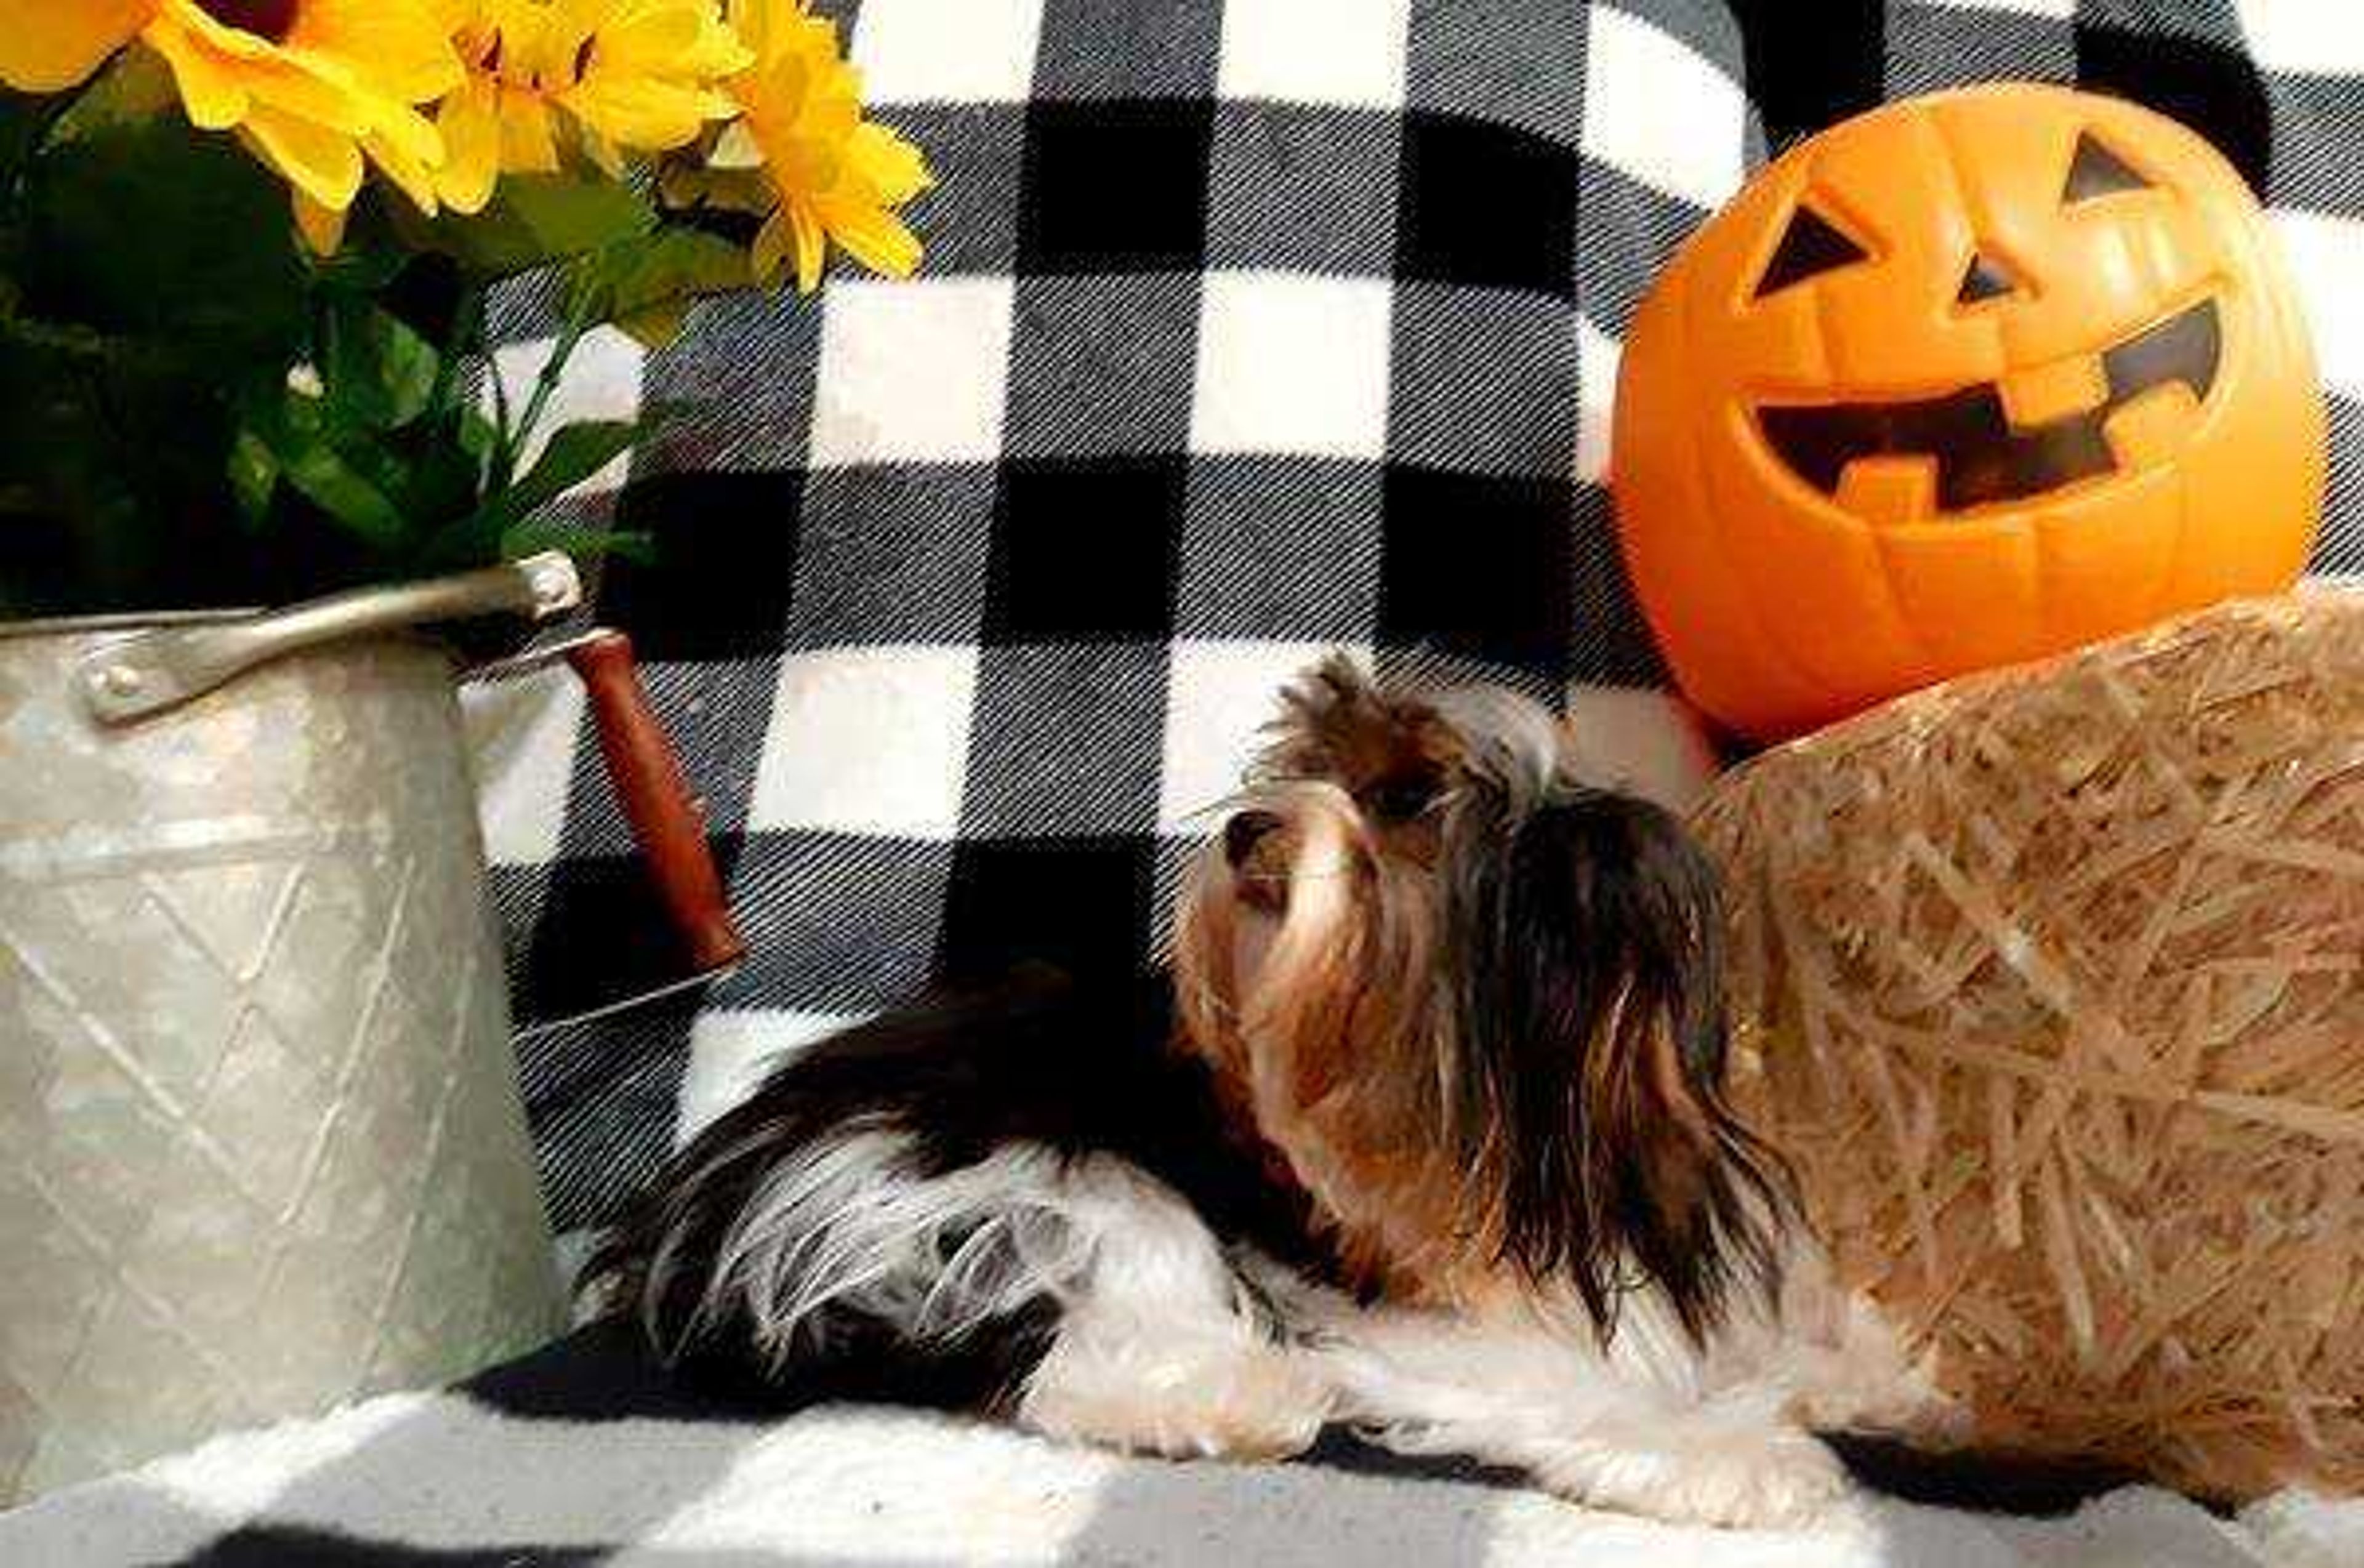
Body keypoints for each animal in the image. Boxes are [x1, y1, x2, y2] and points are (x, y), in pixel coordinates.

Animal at [591, 657, 1938, 1523]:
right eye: (1302, 768)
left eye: (1405, 797)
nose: (1247, 825)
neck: (1536, 1127)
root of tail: (691, 1215)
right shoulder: (1392, 1311)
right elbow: (1558, 1382)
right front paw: (1723, 1450)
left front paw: (1879, 1372)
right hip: (1027, 1176)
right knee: (1074, 1337)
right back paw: (1238, 1395)